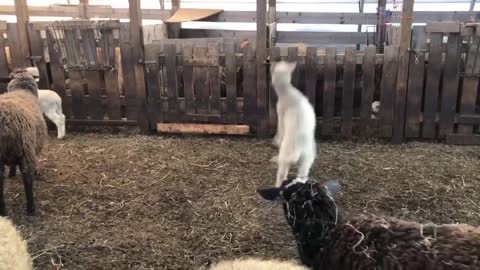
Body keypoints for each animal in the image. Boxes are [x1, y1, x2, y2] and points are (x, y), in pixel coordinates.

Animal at [0, 69, 48, 215]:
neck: (22, 90)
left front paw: (11, 173)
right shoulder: (32, 146)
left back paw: (3, 211)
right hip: (25, 148)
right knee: (27, 178)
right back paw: (31, 208)